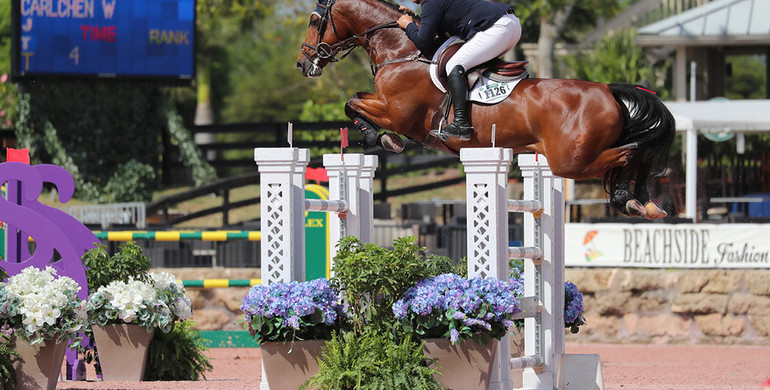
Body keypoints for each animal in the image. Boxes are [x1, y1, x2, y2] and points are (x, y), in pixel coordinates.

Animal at [294, 0, 672, 219]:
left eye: (314, 20)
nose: (303, 64)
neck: (402, 50)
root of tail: (608, 90)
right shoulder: (387, 106)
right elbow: (354, 100)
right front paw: (383, 138)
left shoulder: (397, 113)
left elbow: (352, 103)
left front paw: (384, 140)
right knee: (633, 153)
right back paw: (637, 201)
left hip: (570, 161)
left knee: (629, 152)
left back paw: (630, 198)